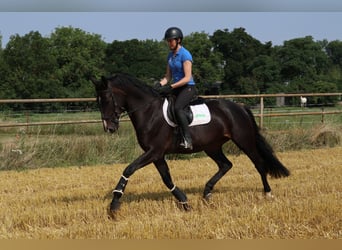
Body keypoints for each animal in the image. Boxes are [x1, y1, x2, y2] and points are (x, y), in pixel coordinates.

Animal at [91, 73, 288, 217]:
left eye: (107, 99)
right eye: (98, 101)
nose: (109, 128)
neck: (149, 111)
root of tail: (239, 107)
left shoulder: (154, 152)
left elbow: (129, 169)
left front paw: (114, 204)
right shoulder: (157, 155)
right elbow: (167, 179)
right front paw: (185, 202)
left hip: (244, 140)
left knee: (259, 163)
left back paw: (268, 193)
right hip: (212, 146)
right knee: (226, 164)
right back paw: (207, 193)